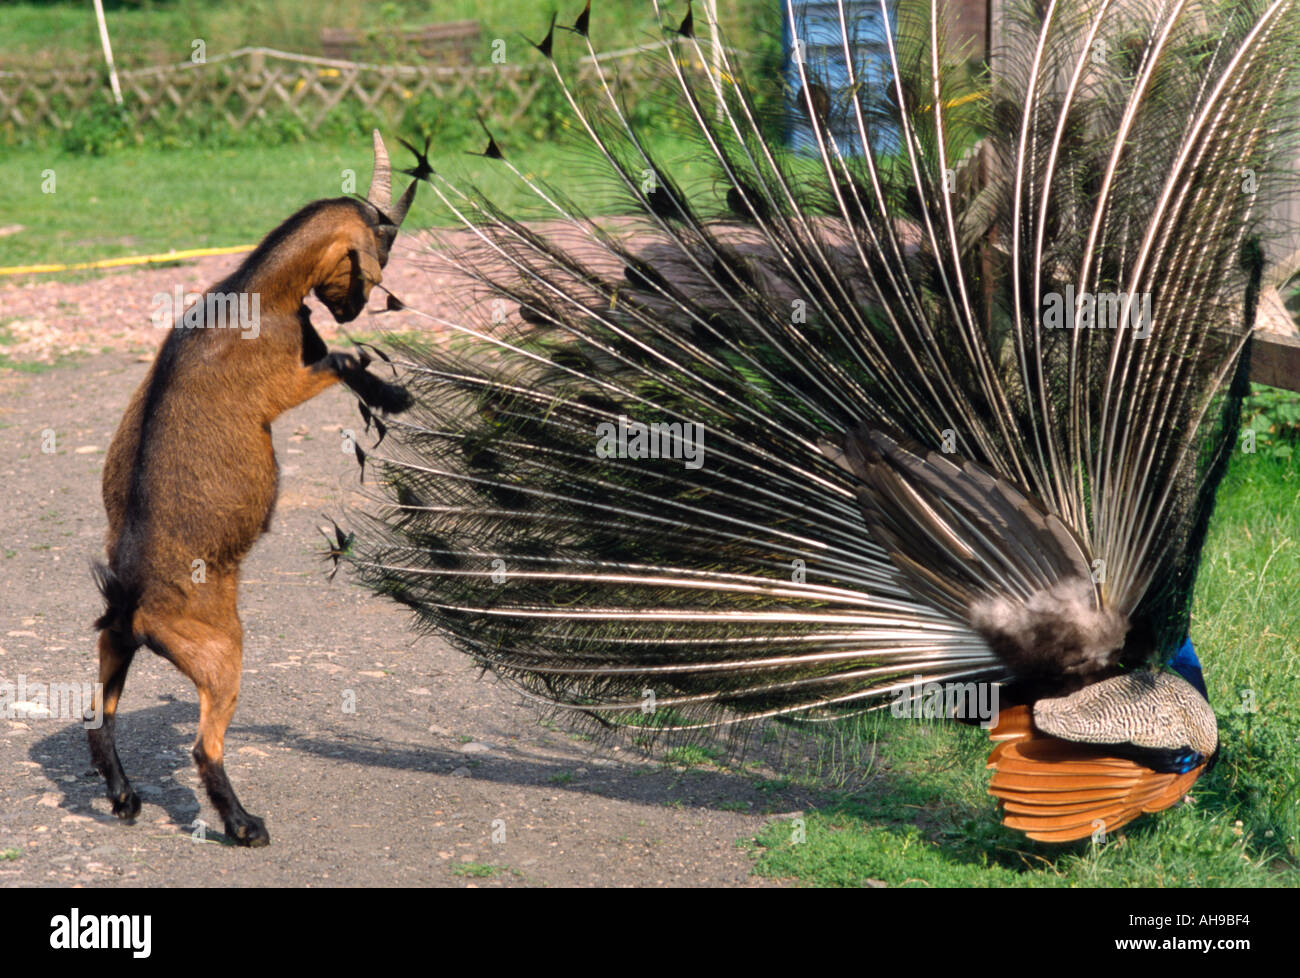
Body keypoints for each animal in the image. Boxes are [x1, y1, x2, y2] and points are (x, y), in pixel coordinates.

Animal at [91, 132, 426, 847]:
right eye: (379, 254)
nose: (354, 306)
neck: (253, 293)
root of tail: (133, 602)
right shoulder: (286, 383)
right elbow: (346, 359)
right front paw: (394, 394)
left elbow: (344, 357)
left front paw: (391, 394)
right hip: (222, 651)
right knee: (203, 746)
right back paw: (244, 825)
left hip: (114, 645)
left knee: (100, 720)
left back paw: (127, 798)